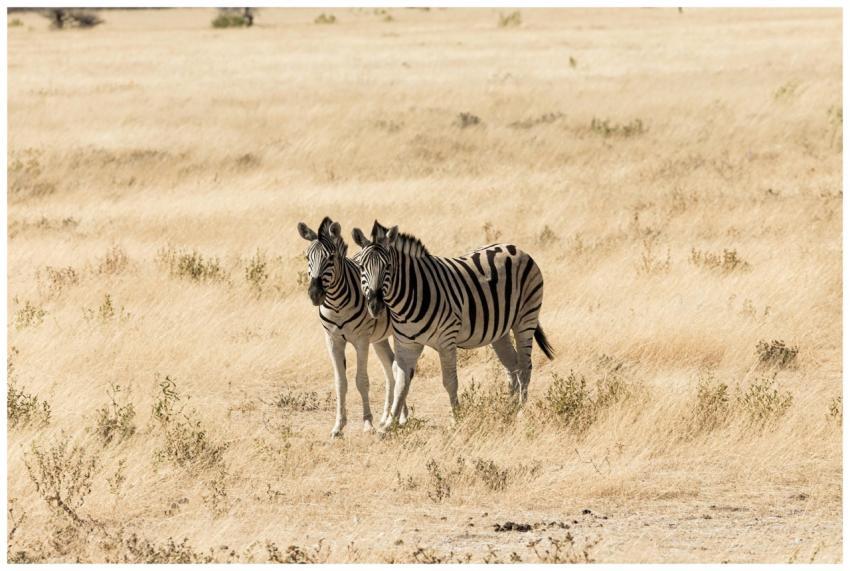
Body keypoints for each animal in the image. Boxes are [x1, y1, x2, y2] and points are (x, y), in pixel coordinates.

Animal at [297, 216, 408, 437]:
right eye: (306, 257)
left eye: (331, 257)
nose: (315, 294)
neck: (336, 305)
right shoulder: (332, 340)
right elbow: (341, 383)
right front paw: (338, 427)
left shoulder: (361, 340)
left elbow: (361, 380)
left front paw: (367, 423)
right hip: (380, 338)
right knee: (390, 368)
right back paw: (389, 416)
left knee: (398, 367)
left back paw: (400, 417)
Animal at [351, 221, 554, 429]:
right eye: (361, 267)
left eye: (388, 267)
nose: (375, 306)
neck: (410, 295)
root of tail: (515, 248)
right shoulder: (406, 344)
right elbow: (401, 382)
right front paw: (389, 425)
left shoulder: (446, 340)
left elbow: (450, 381)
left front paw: (457, 419)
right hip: (500, 330)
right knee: (512, 365)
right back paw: (510, 409)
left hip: (525, 318)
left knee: (525, 366)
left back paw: (521, 412)